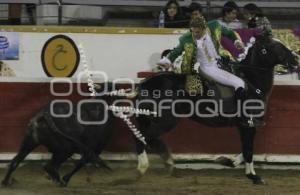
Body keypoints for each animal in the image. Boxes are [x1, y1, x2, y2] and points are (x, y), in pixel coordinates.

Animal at [131, 34, 298, 184]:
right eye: (275, 46)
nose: (296, 59)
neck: (252, 81)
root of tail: (144, 84)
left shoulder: (245, 126)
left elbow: (247, 150)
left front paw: (228, 161)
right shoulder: (248, 125)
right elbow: (249, 150)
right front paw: (254, 176)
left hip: (154, 120)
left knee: (148, 139)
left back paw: (167, 163)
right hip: (165, 121)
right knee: (141, 138)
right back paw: (142, 168)